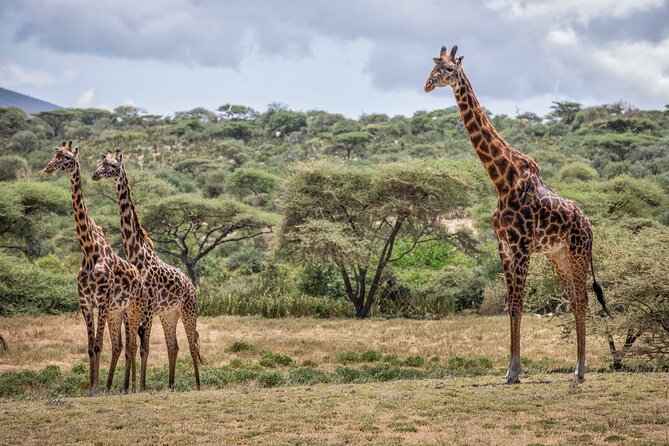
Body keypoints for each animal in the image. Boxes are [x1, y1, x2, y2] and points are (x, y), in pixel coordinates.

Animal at [42, 142, 148, 394]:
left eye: (68, 158)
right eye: (55, 154)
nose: (48, 168)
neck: (89, 250)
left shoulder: (102, 301)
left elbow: (99, 346)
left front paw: (96, 389)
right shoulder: (85, 302)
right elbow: (90, 347)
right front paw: (91, 386)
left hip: (130, 308)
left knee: (132, 344)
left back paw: (131, 387)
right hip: (118, 311)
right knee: (122, 345)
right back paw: (119, 386)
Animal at [91, 152, 201, 388]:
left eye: (112, 165)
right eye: (101, 163)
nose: (95, 175)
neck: (136, 254)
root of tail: (190, 284)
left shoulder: (148, 308)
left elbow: (144, 348)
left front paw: (140, 387)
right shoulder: (133, 310)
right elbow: (132, 348)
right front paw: (131, 387)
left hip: (188, 310)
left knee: (192, 344)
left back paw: (198, 385)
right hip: (169, 314)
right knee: (174, 346)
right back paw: (170, 385)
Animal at [426, 44, 608, 384]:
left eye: (449, 70)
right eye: (433, 66)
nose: (427, 84)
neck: (502, 181)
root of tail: (590, 225)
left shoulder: (522, 246)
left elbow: (519, 304)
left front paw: (515, 371)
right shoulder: (504, 247)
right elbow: (510, 305)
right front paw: (510, 369)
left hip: (577, 252)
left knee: (583, 299)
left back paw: (580, 370)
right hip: (557, 255)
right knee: (574, 299)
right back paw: (576, 367)